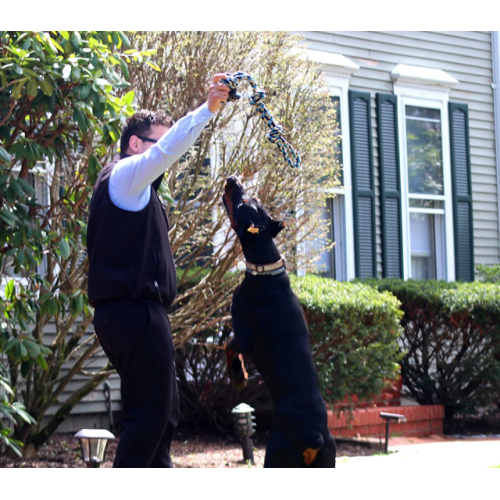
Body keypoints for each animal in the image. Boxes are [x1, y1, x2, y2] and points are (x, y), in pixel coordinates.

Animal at [223, 177, 336, 468]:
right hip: (327, 458)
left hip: (276, 454)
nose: (232, 179)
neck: (265, 269)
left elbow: (229, 344)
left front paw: (239, 377)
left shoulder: (244, 334)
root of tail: (314, 436)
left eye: (242, 202)